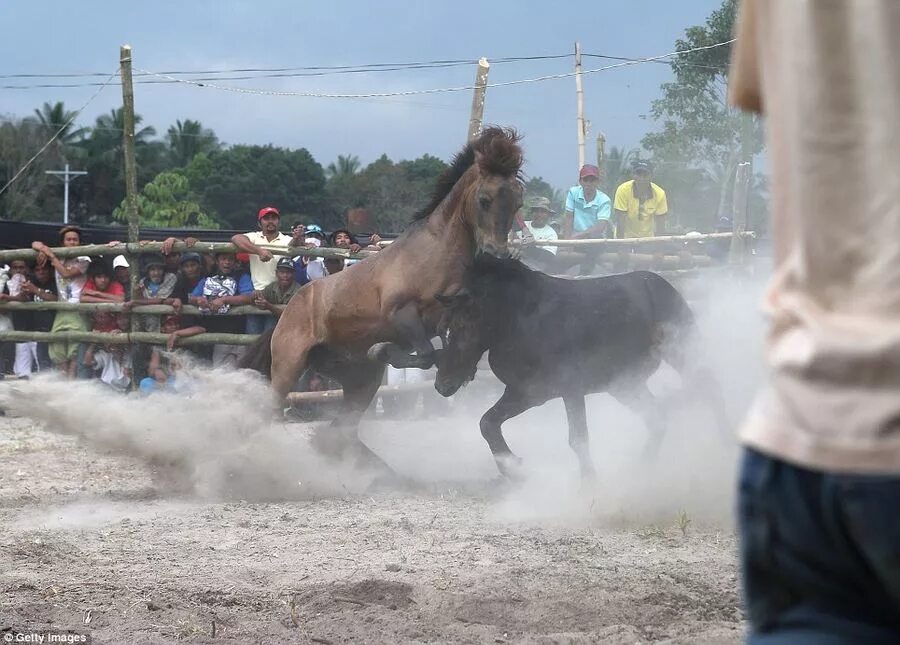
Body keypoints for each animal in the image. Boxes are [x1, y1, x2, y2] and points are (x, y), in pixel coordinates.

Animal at [241, 127, 528, 478]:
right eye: (484, 200)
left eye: (517, 203)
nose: (497, 253)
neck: (435, 254)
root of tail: (287, 312)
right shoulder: (402, 314)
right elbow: (426, 354)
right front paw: (386, 351)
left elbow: (439, 352)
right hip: (287, 366)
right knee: (275, 413)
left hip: (360, 380)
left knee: (341, 430)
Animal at [432, 255, 728, 478]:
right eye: (443, 330)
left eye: (460, 328)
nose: (442, 385)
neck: (519, 320)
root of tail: (663, 284)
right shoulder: (527, 393)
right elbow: (487, 423)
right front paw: (513, 467)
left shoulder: (570, 389)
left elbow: (578, 438)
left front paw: (588, 484)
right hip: (624, 385)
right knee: (658, 416)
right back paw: (642, 468)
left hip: (683, 353)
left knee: (709, 385)